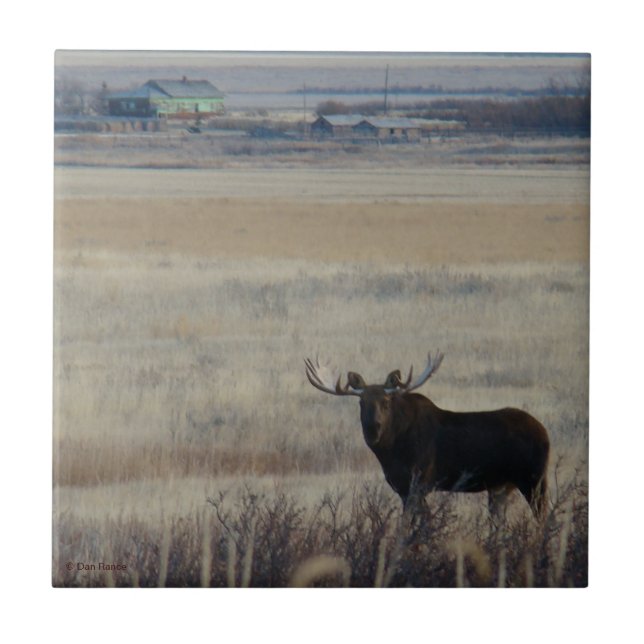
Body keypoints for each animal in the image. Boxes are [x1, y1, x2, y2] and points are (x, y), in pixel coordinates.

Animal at [305, 351, 550, 524]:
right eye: (361, 402)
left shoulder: (420, 482)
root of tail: (545, 433)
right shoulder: (402, 488)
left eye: (386, 402)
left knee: (543, 518)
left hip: (533, 478)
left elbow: (417, 526)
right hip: (502, 486)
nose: (372, 428)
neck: (391, 453)